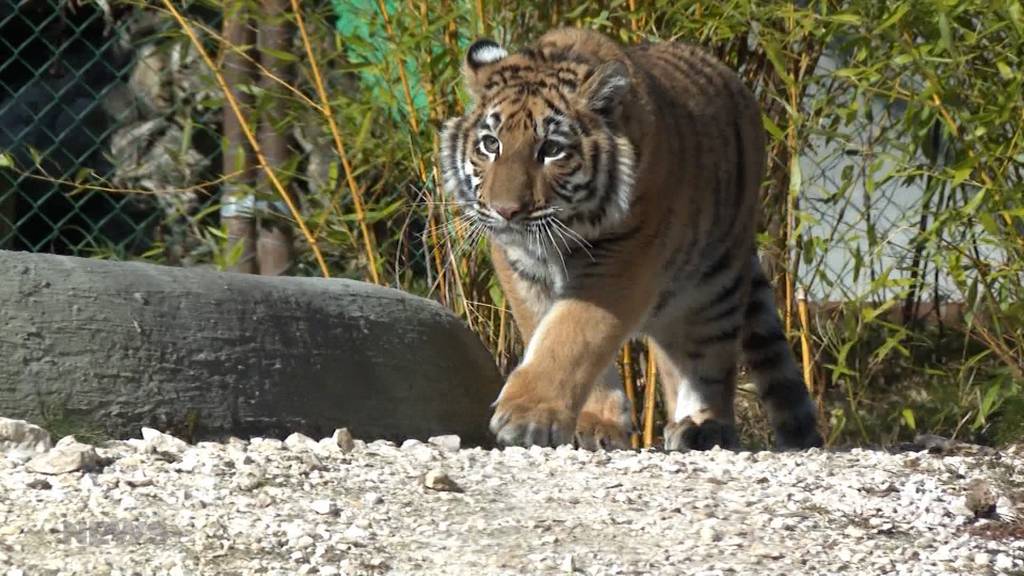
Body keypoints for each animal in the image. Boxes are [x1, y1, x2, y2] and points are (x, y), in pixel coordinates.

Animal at [436, 28, 819, 448]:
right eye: (491, 144)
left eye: (551, 149)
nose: (505, 211)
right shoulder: (520, 268)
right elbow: (545, 326)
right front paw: (597, 423)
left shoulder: (623, 260)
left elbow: (573, 333)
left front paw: (527, 416)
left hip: (714, 288)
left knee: (707, 363)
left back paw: (704, 427)